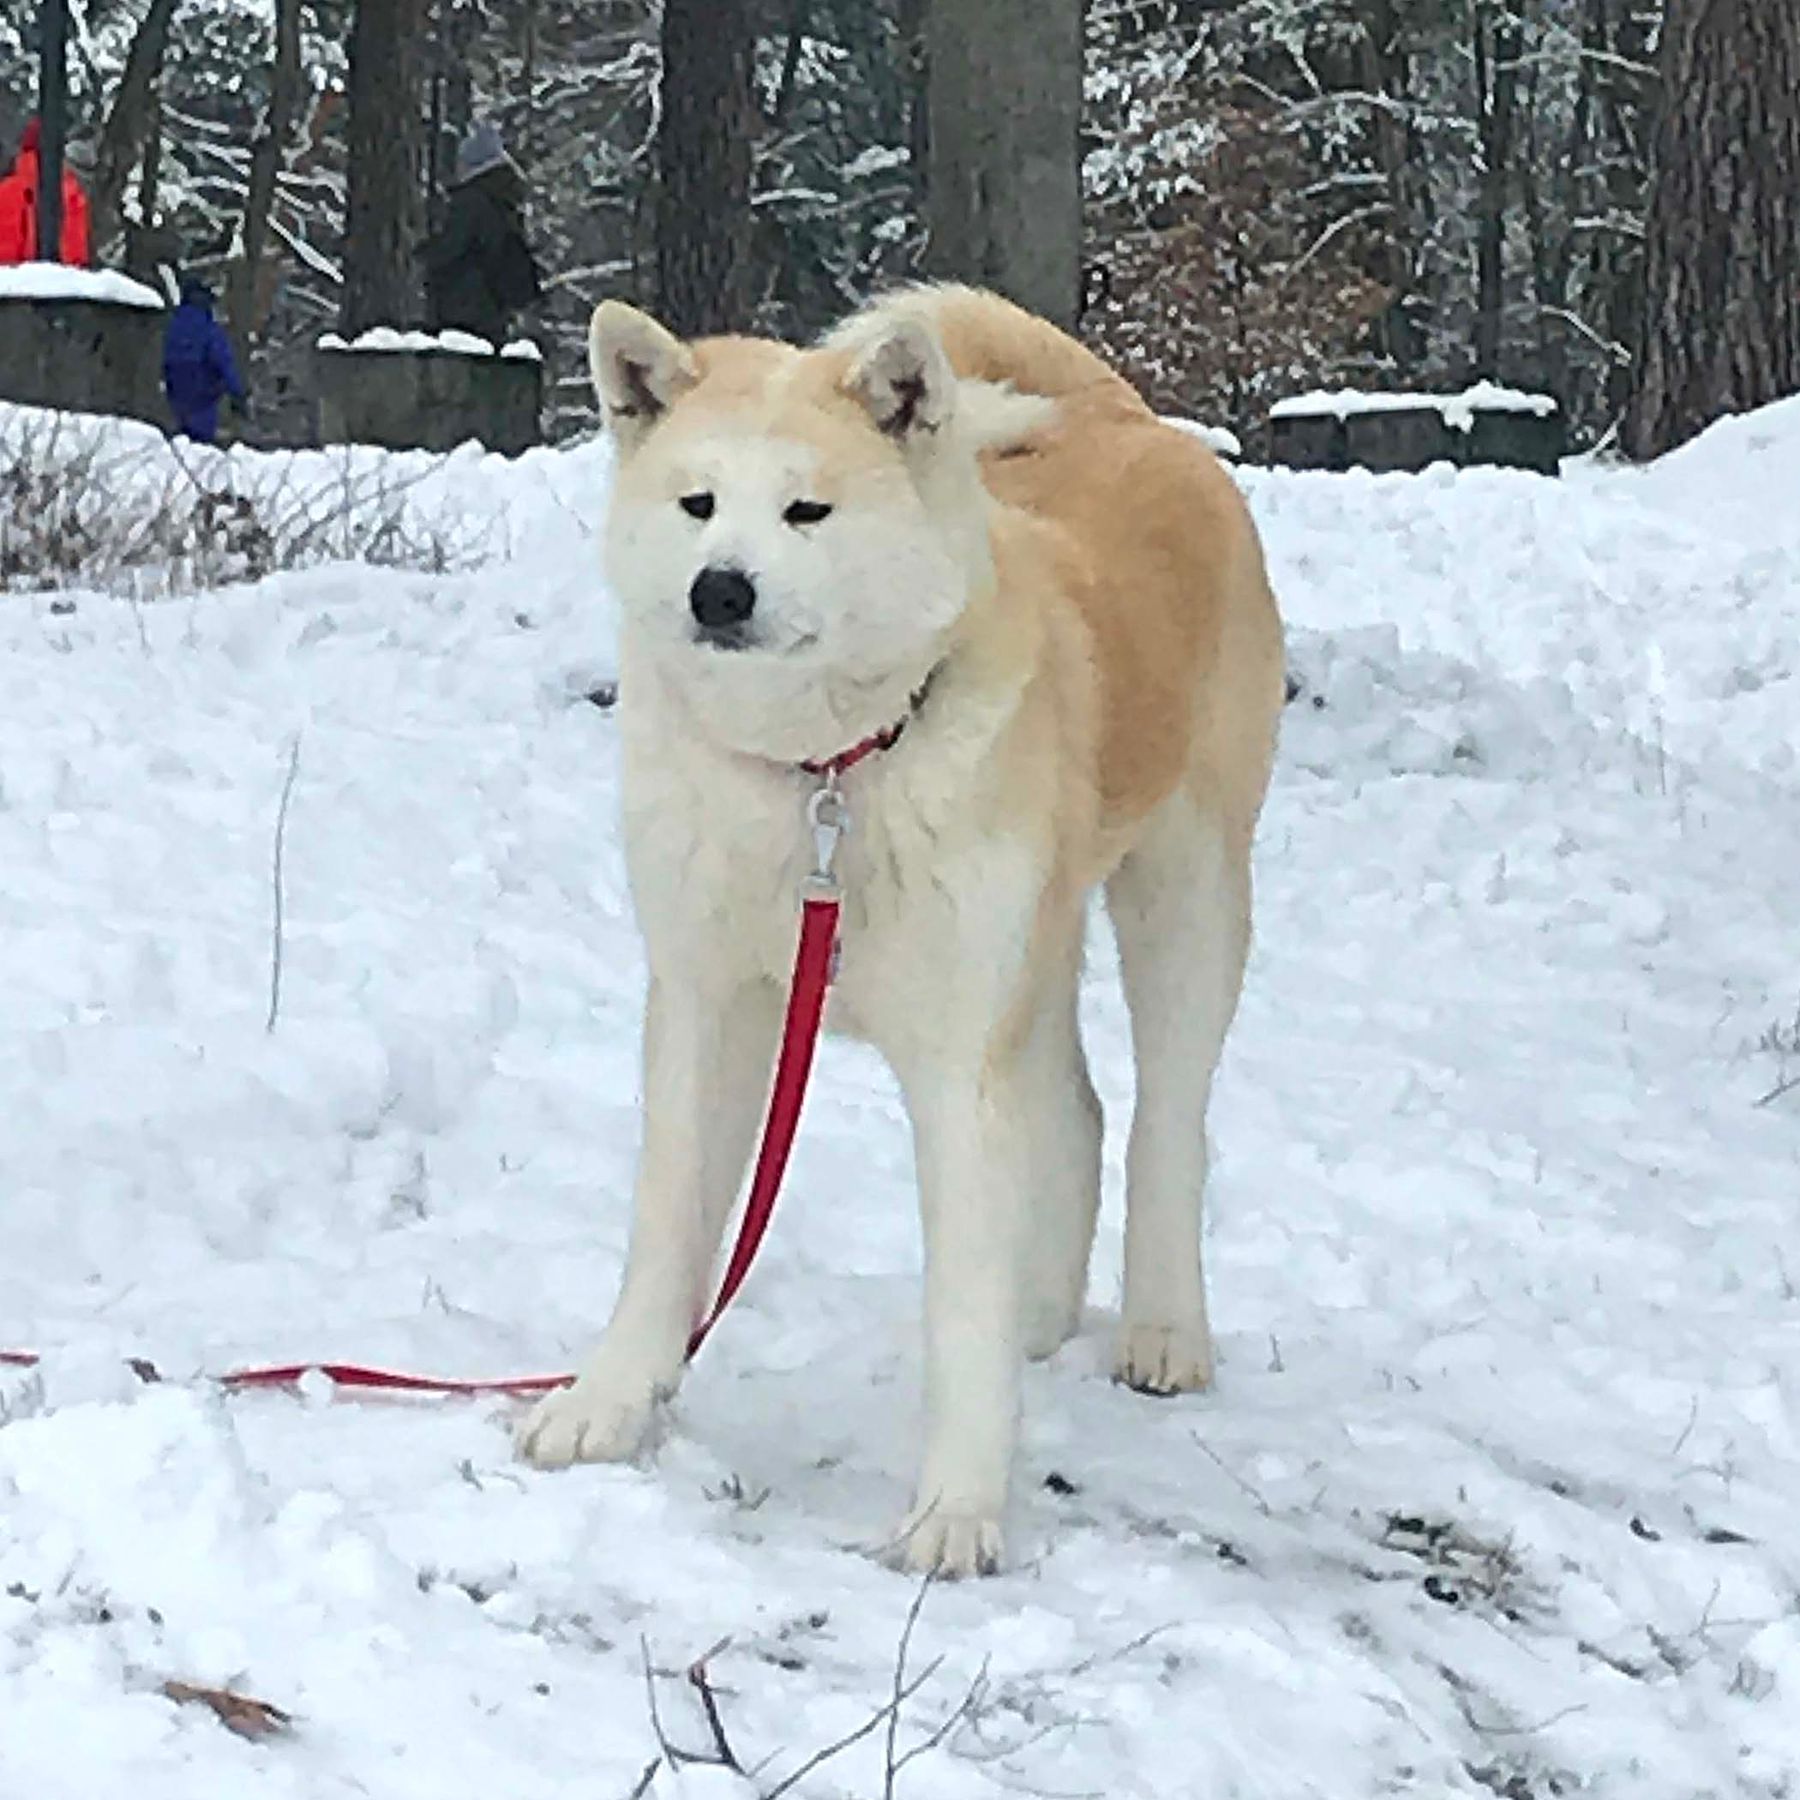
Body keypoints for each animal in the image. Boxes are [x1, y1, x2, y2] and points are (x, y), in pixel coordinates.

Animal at [514, 284, 1288, 1576]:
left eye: (807, 509)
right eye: (697, 503)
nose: (721, 589)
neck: (824, 777)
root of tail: (1127, 418)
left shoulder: (958, 1062)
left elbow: (960, 1308)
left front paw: (956, 1515)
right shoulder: (707, 1004)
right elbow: (666, 1233)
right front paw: (610, 1404)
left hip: (1183, 899)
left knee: (1168, 1126)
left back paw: (1163, 1331)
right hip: (1037, 946)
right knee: (1078, 1111)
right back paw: (1044, 1312)